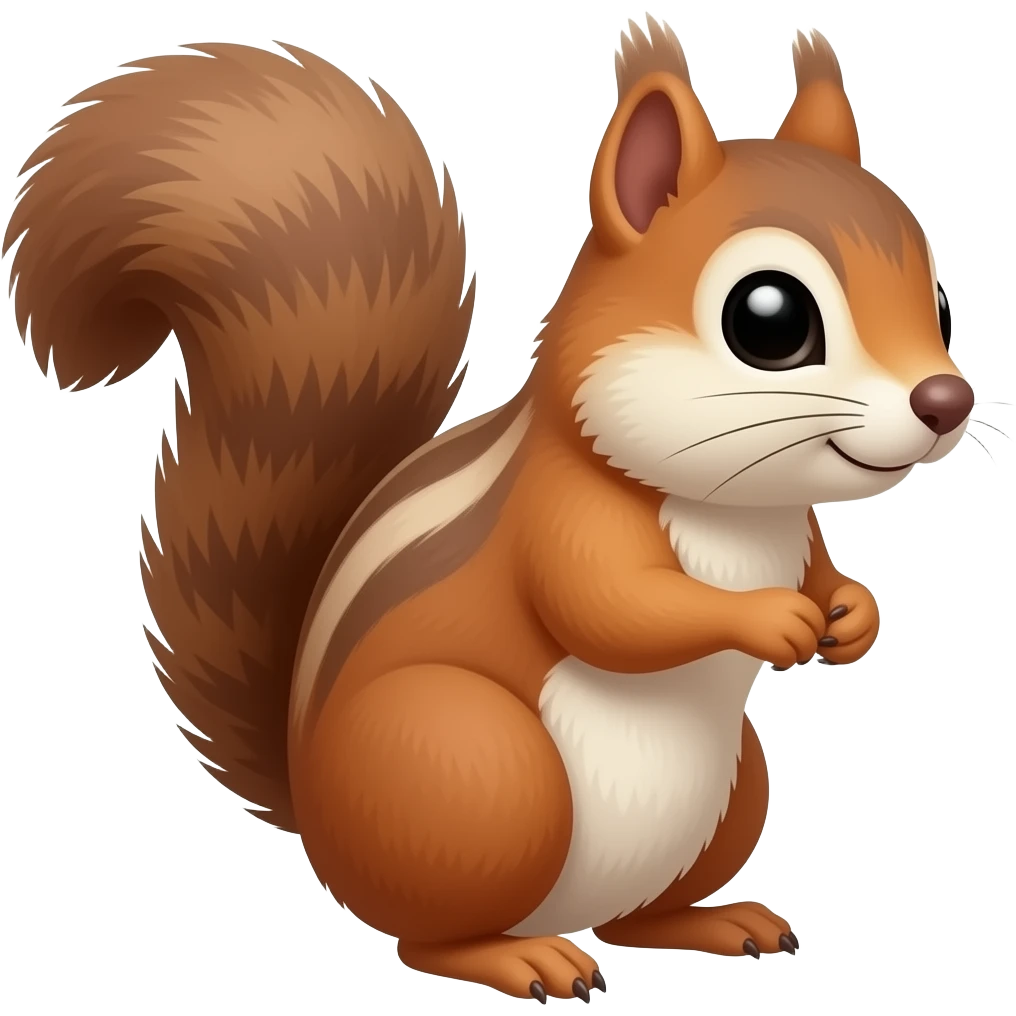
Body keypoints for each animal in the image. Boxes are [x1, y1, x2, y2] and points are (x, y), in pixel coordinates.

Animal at [5, 18, 976, 1002]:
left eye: (936, 297)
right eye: (769, 319)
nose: (946, 400)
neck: (737, 509)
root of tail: (314, 812)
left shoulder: (794, 531)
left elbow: (818, 572)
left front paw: (853, 614)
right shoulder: (563, 521)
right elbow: (616, 610)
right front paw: (770, 618)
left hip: (735, 785)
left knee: (635, 918)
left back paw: (710, 920)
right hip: (476, 771)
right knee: (428, 936)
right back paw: (520, 958)